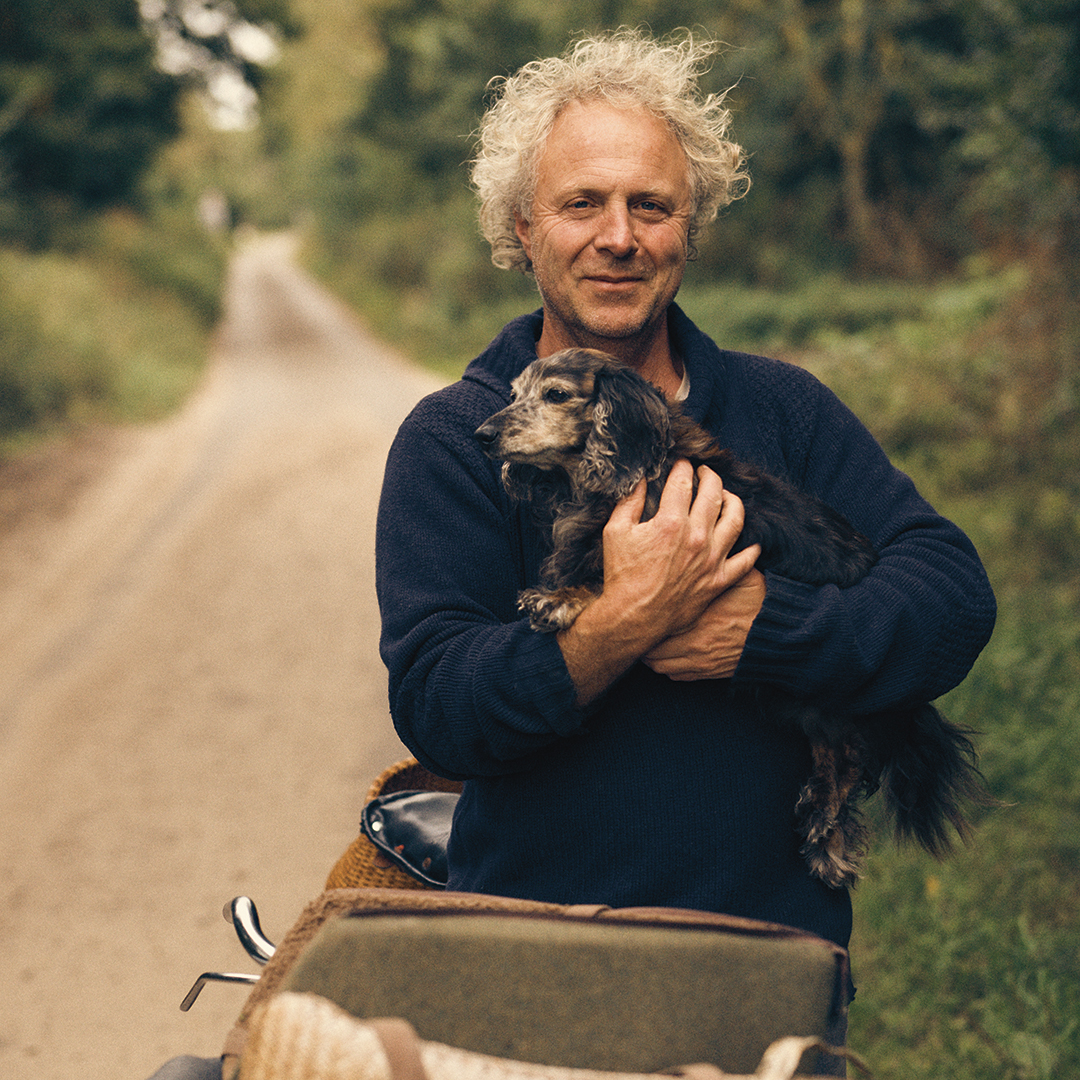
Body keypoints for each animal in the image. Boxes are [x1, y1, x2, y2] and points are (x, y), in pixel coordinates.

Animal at [475, 349, 989, 889]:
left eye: (555, 394)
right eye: (513, 394)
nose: (483, 435)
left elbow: (611, 580)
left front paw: (558, 599)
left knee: (849, 755)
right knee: (836, 756)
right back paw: (824, 835)